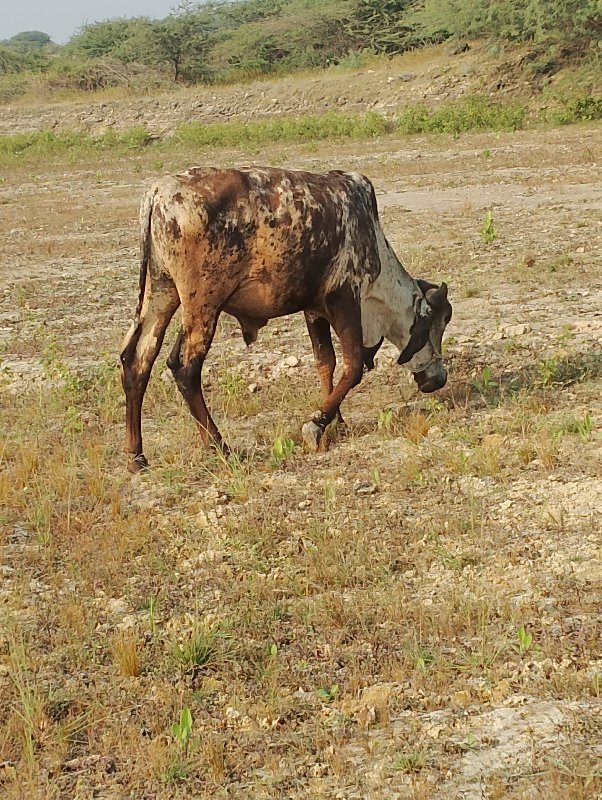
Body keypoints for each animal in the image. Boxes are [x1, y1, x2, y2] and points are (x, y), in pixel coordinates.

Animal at [119, 166, 450, 472]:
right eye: (438, 325)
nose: (439, 378)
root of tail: (158, 193)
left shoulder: (314, 310)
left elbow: (325, 363)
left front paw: (337, 420)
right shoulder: (346, 299)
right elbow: (353, 366)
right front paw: (317, 424)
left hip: (162, 293)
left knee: (137, 360)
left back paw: (137, 456)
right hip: (203, 304)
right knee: (185, 369)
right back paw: (218, 445)